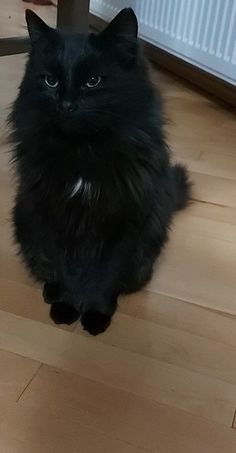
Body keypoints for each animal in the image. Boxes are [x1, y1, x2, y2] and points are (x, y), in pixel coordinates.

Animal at [9, 8, 191, 334]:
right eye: (51, 81)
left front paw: (95, 314)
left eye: (93, 81)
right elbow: (66, 270)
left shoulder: (124, 225)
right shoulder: (54, 215)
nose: (67, 105)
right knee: (46, 268)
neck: (84, 151)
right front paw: (66, 308)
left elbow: (106, 277)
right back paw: (51, 292)